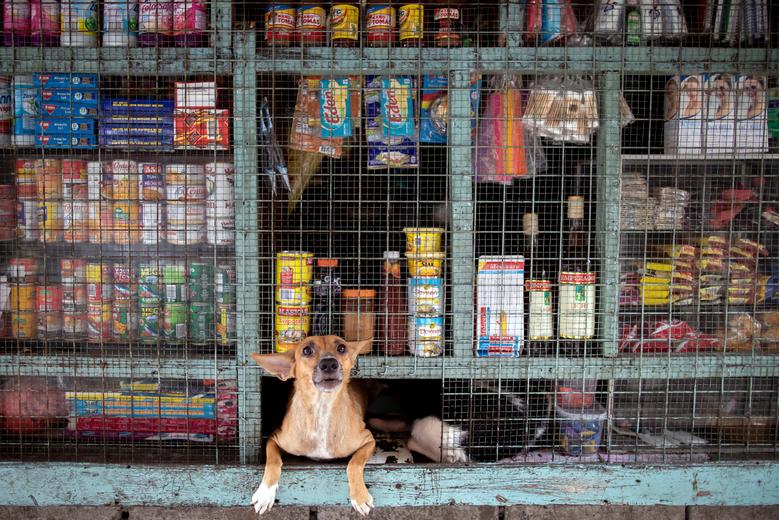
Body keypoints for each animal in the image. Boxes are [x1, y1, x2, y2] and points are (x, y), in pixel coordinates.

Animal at [248, 338, 374, 516]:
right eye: (306, 350)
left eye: (342, 348)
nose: (329, 364)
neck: (321, 409)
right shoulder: (273, 439)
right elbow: (273, 461)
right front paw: (265, 493)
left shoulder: (368, 439)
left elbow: (354, 463)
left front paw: (360, 496)